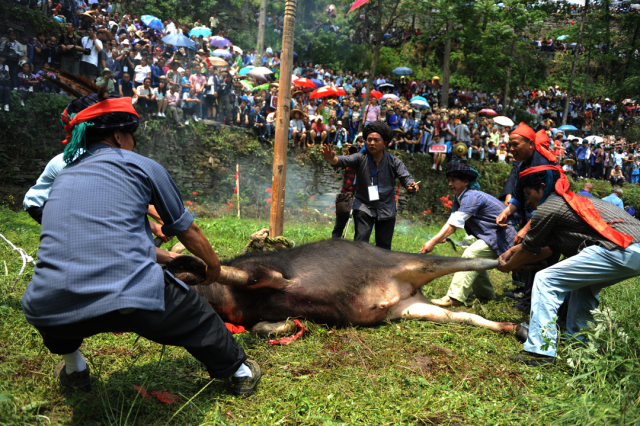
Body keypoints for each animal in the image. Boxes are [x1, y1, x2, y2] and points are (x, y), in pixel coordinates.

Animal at [167, 239, 528, 341]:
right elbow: (259, 327)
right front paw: (286, 326)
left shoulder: (262, 271)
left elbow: (257, 277)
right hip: (413, 309)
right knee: (464, 317)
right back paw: (515, 328)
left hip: (422, 262)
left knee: (481, 262)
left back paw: (515, 257)